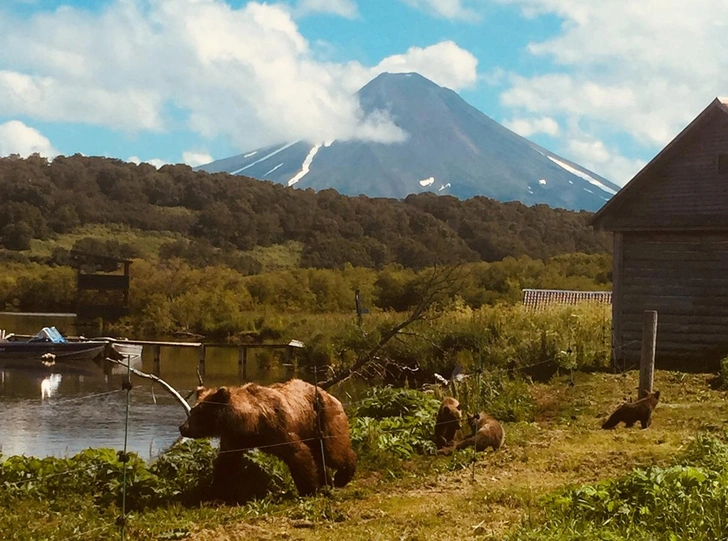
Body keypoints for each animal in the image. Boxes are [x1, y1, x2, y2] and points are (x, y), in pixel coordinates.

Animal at [179, 376, 356, 498]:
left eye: (199, 413)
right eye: (193, 411)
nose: (183, 428)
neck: (252, 422)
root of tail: (328, 393)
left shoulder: (278, 427)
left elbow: (298, 453)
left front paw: (309, 490)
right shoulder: (236, 438)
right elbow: (226, 462)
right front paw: (216, 491)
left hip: (323, 418)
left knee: (332, 451)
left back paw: (342, 476)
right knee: (320, 454)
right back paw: (328, 482)